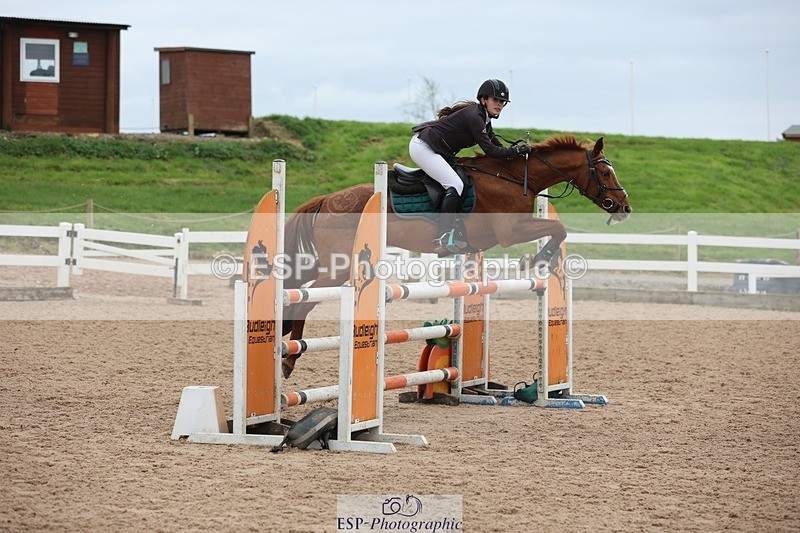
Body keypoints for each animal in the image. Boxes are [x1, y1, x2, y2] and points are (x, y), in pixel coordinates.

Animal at [280, 134, 631, 378]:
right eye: (605, 174)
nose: (625, 207)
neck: (515, 179)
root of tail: (328, 199)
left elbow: (558, 229)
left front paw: (536, 259)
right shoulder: (510, 232)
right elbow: (558, 227)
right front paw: (537, 260)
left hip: (335, 264)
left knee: (299, 287)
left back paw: (284, 336)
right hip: (341, 268)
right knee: (304, 301)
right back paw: (289, 358)